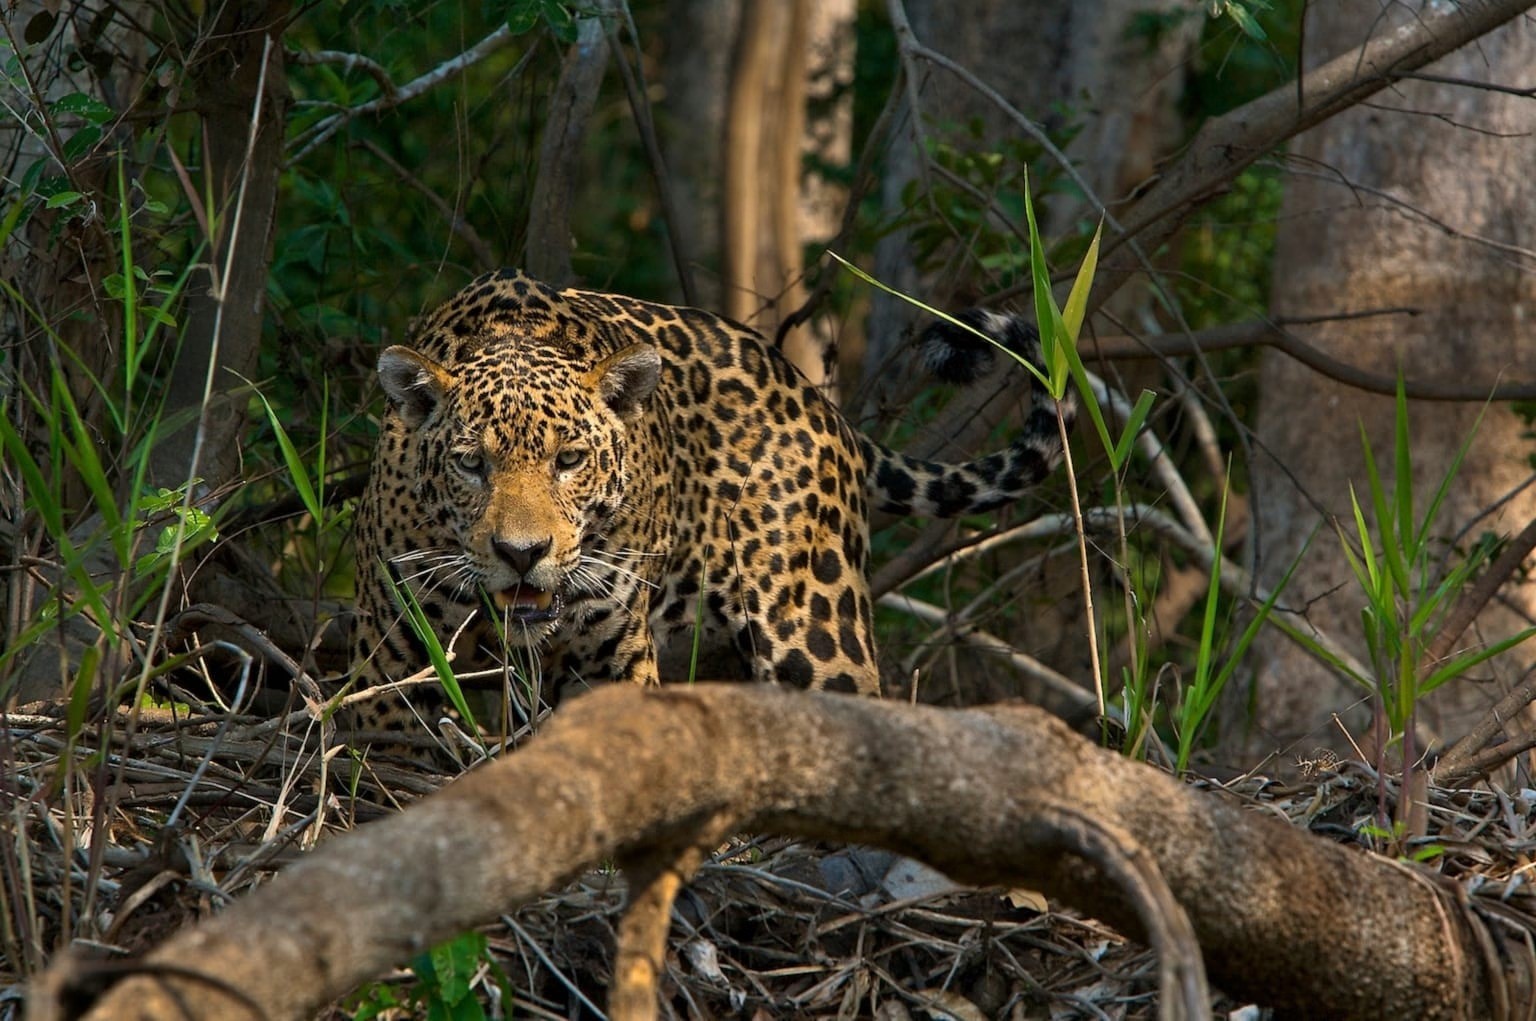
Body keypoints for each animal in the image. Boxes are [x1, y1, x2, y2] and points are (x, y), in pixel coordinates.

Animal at [348, 269, 1075, 748]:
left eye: (570, 460)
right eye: (472, 464)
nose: (522, 554)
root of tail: (815, 399)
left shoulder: (612, 661)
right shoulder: (387, 675)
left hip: (818, 636)